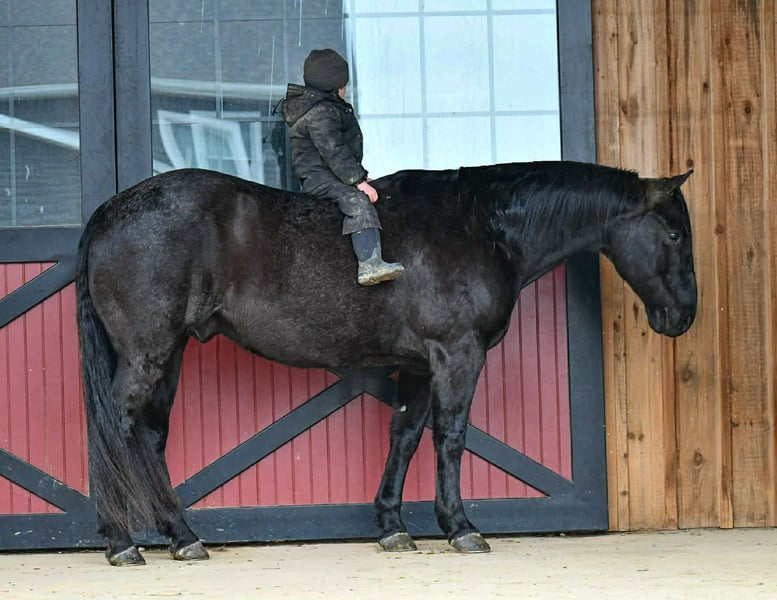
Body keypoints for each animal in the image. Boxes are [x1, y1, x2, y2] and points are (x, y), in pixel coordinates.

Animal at [76, 160, 696, 566]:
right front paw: (460, 527)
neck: (478, 224)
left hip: (171, 352)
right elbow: (450, 437)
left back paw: (181, 535)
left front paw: (393, 526)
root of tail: (108, 210)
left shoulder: (420, 365)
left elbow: (405, 434)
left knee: (149, 438)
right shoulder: (456, 354)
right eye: (672, 232)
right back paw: (123, 542)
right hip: (148, 352)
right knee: (118, 428)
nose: (684, 316)